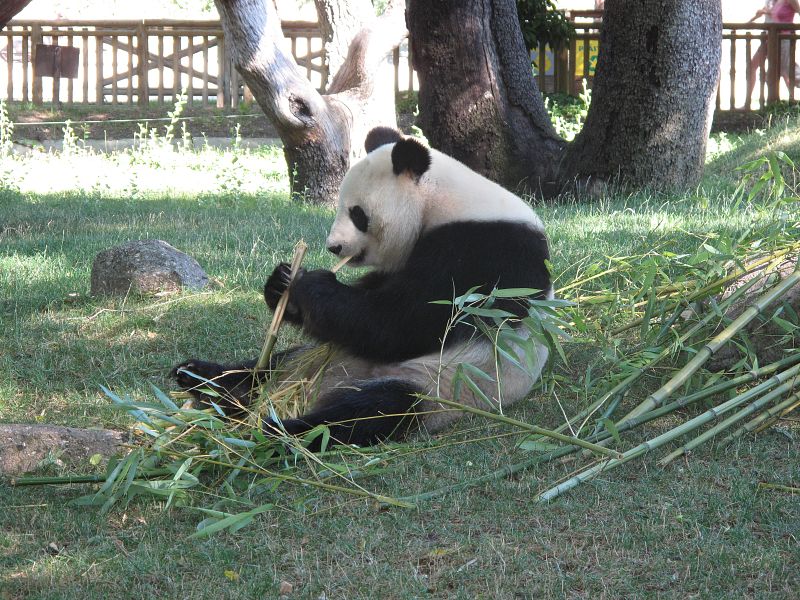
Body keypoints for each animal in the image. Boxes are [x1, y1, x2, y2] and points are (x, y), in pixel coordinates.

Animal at [172, 127, 552, 448]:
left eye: (358, 213)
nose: (334, 247)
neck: (442, 199)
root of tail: (328, 383)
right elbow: (364, 307)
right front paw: (282, 282)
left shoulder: (483, 252)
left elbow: (403, 322)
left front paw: (309, 284)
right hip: (315, 357)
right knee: (267, 367)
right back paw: (201, 377)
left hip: (442, 384)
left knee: (372, 410)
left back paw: (282, 428)